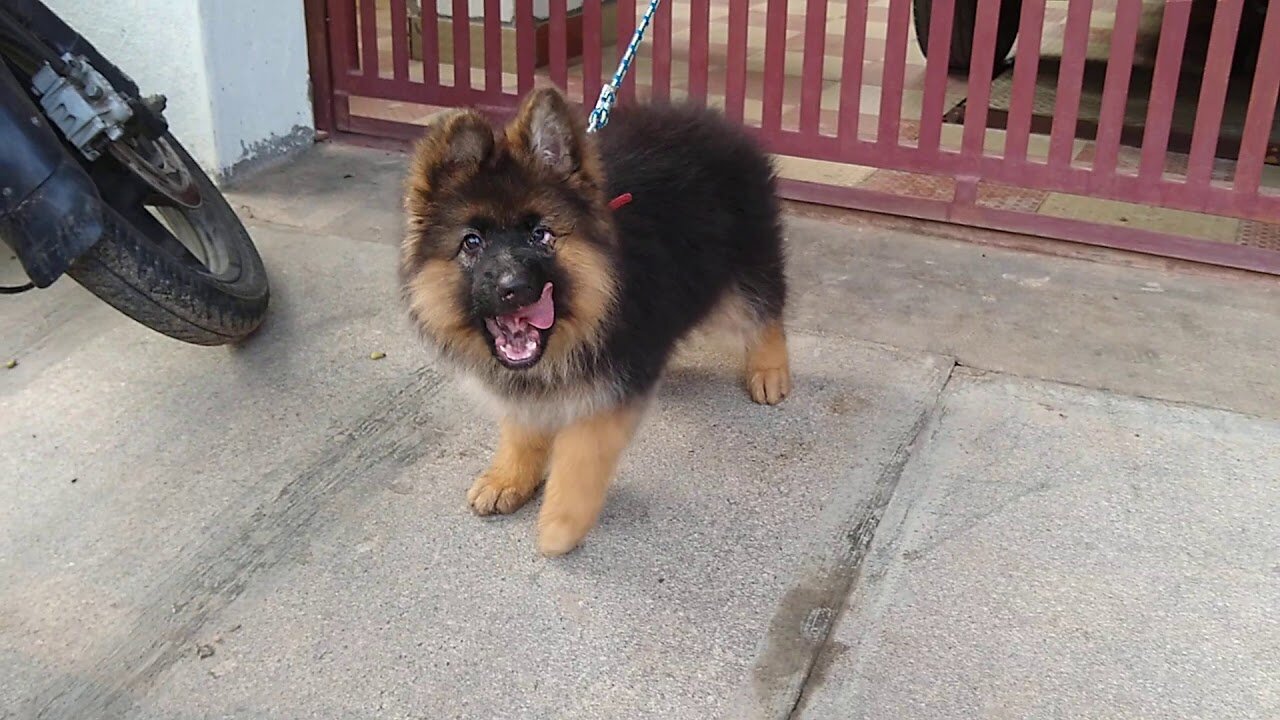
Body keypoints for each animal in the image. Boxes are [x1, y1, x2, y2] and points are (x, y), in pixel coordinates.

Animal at [401, 85, 788, 556]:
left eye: (541, 235)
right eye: (471, 242)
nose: (514, 288)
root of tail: (715, 120)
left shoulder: (610, 385)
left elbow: (581, 455)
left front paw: (561, 522)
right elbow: (523, 426)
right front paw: (511, 476)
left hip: (741, 273)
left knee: (766, 310)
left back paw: (769, 370)